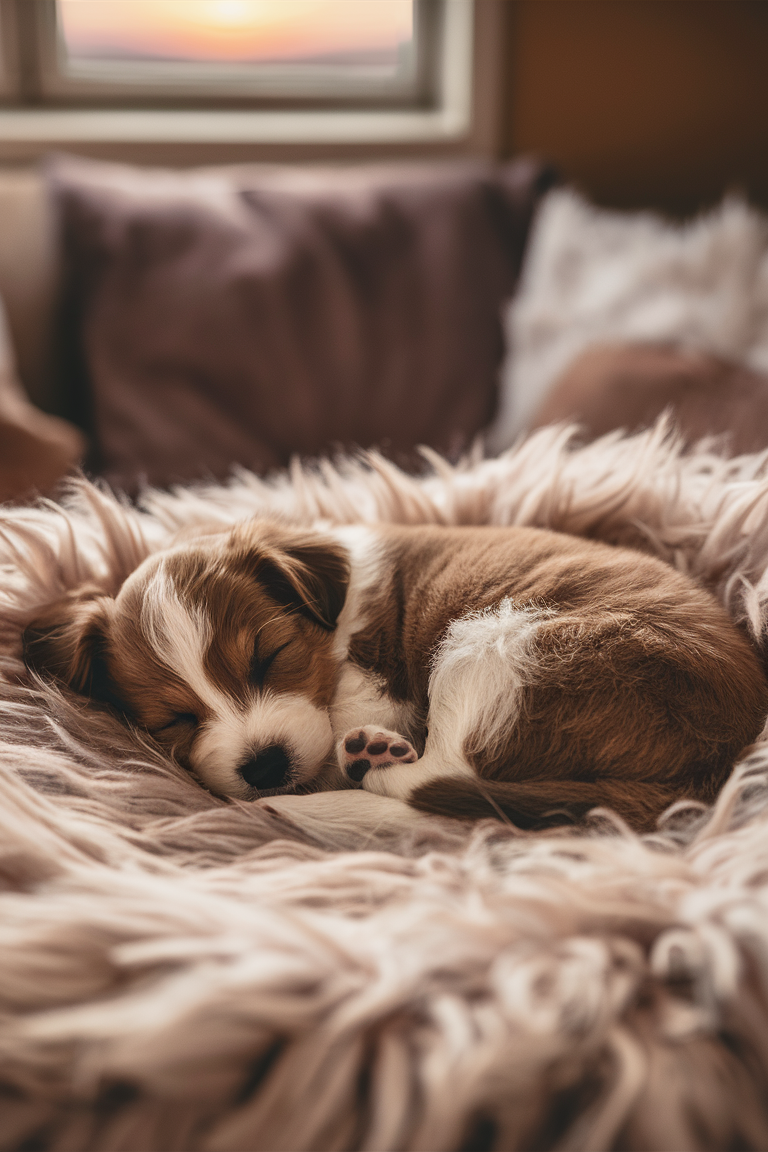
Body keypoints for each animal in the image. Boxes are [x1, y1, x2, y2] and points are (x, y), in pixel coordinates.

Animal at [21, 520, 768, 829]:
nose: (264, 767)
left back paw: (374, 763)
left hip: (498, 647)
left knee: (442, 774)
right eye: (175, 719)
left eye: (269, 658)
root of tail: (717, 762)